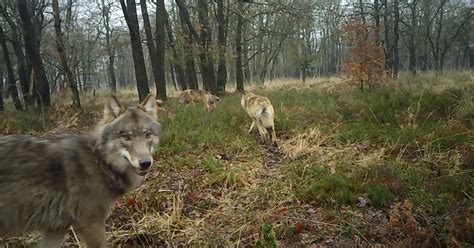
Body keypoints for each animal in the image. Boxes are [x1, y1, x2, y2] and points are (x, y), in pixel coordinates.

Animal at [0, 94, 162, 247]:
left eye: (147, 135)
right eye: (126, 137)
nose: (145, 163)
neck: (99, 161)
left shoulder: (56, 229)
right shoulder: (92, 224)